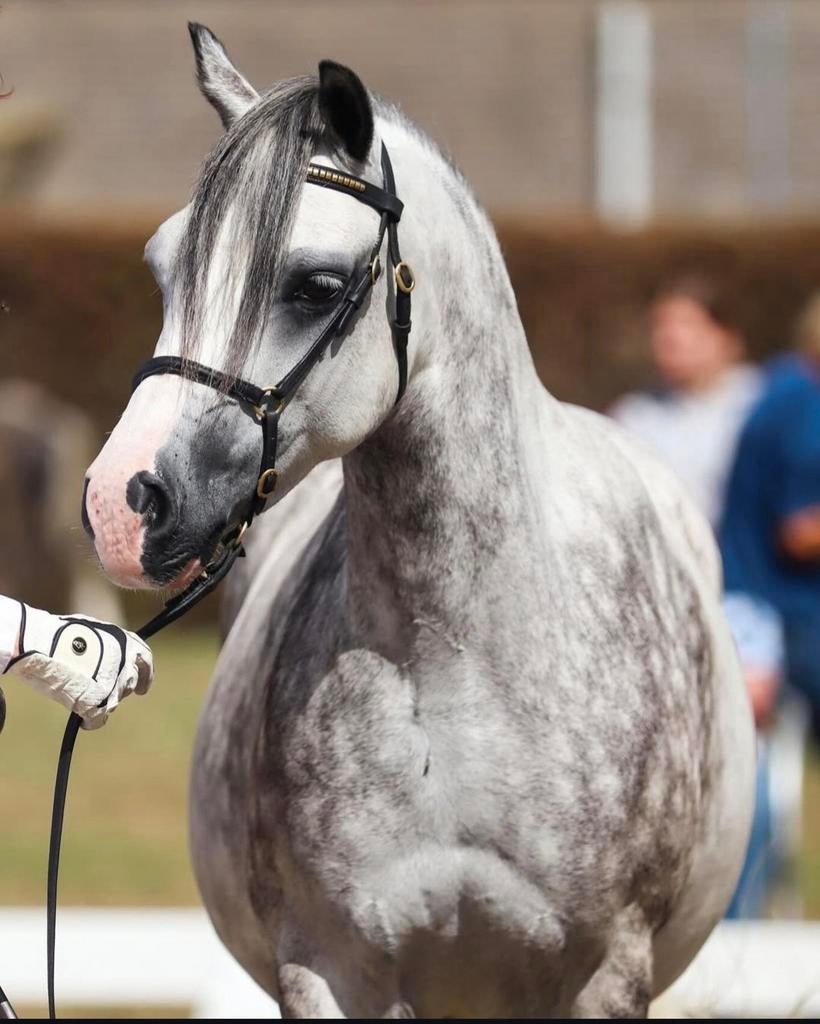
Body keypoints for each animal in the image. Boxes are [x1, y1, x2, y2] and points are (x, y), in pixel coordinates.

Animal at [82, 23, 755, 1018]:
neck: (466, 665)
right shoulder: (332, 970)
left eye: (316, 284)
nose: (119, 502)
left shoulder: (604, 978)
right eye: (164, 267)